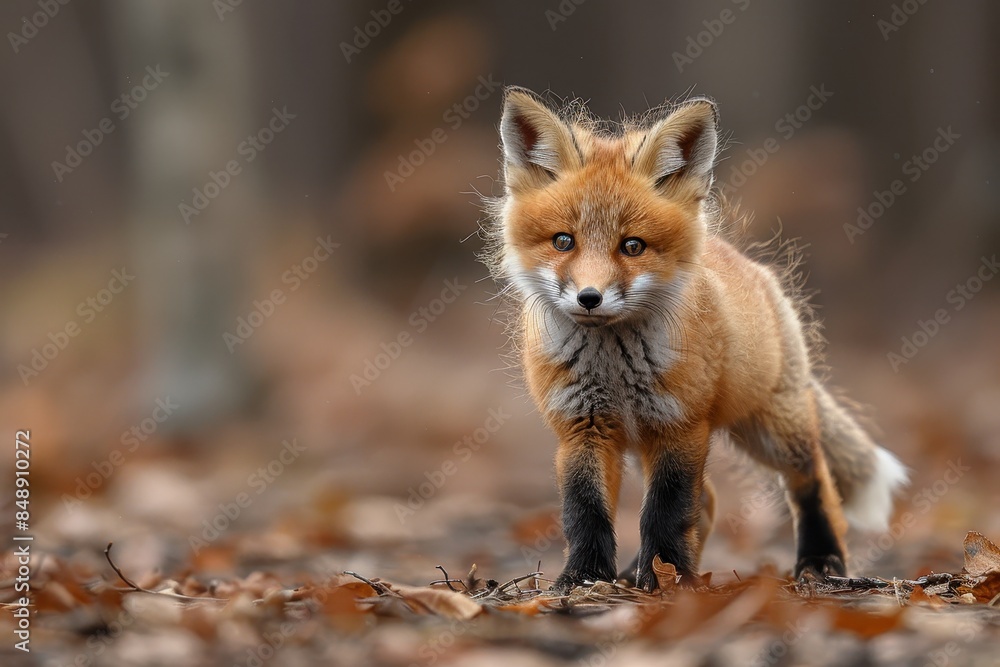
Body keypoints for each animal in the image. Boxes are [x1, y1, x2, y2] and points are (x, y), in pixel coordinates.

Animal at [482, 87, 908, 592]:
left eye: (633, 246)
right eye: (563, 241)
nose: (589, 298)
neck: (614, 366)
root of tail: (748, 265)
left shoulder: (681, 424)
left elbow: (664, 512)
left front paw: (669, 580)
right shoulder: (583, 426)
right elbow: (585, 511)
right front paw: (586, 578)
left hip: (771, 429)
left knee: (812, 481)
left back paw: (822, 561)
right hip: (651, 443)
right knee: (706, 501)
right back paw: (635, 571)